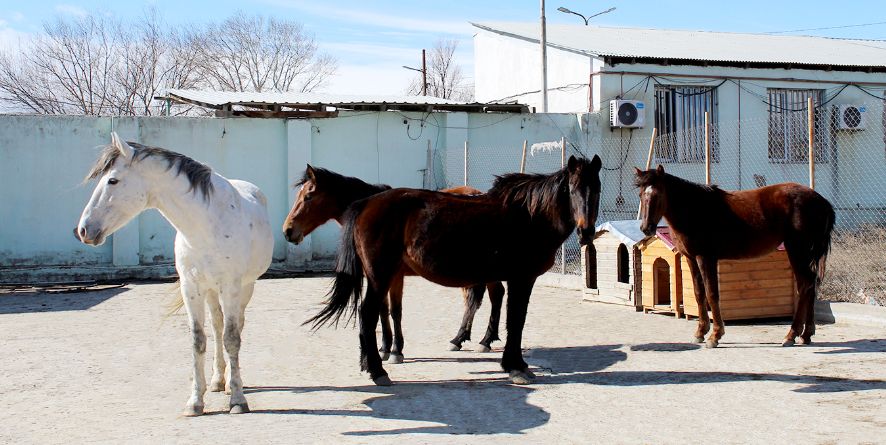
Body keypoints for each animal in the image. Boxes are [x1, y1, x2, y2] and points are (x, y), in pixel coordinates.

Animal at [74, 133, 272, 416]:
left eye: (112, 180)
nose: (83, 230)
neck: (206, 224)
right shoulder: (191, 288)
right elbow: (198, 340)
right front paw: (196, 401)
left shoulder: (231, 287)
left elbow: (232, 338)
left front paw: (237, 399)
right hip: (210, 291)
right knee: (217, 325)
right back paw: (217, 380)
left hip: (245, 288)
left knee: (235, 327)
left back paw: (231, 384)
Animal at [284, 166, 506, 360]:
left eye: (308, 196)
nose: (287, 230)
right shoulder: (377, 275)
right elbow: (383, 309)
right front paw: (384, 347)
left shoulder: (394, 275)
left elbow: (395, 311)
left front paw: (396, 350)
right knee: (482, 298)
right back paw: (463, 339)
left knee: (491, 296)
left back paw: (483, 340)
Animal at [640, 165, 832, 348]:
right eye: (642, 194)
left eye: (658, 194)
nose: (646, 228)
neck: (696, 209)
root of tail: (821, 201)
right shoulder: (691, 258)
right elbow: (698, 293)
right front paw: (700, 332)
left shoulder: (706, 258)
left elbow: (712, 294)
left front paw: (715, 336)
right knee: (810, 285)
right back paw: (806, 335)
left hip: (797, 250)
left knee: (804, 285)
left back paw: (791, 335)